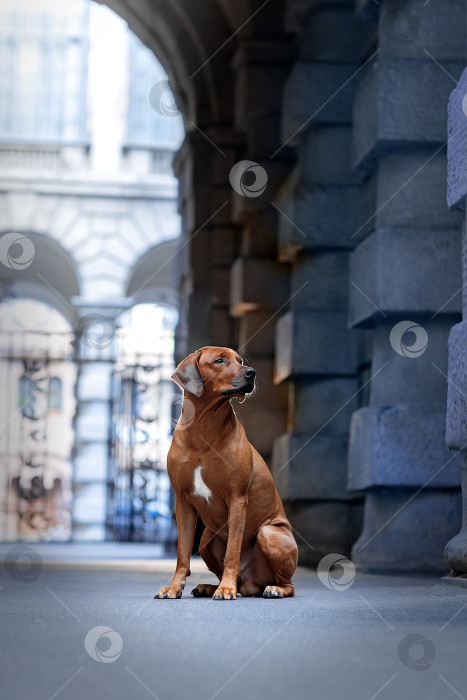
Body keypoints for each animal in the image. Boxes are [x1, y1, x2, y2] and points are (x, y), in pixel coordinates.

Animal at [155, 348, 298, 600]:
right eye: (219, 360)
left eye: (240, 361)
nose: (252, 372)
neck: (204, 427)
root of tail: (251, 584)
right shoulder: (182, 502)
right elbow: (182, 553)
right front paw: (173, 587)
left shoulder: (237, 499)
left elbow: (233, 551)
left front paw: (226, 589)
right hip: (206, 539)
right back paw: (211, 586)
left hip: (268, 533)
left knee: (288, 584)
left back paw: (271, 589)